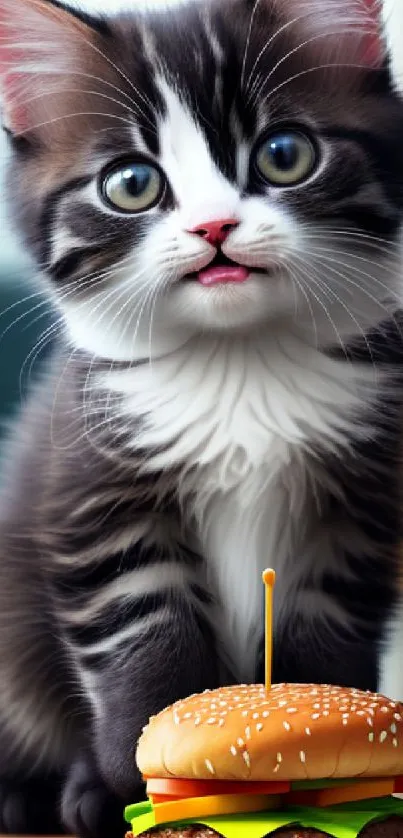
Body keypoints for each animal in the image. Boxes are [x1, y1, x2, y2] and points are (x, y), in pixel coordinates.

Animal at [0, 0, 403, 836]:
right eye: (130, 184)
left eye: (283, 154)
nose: (213, 227)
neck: (238, 362)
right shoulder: (93, 485)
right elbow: (144, 636)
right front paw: (128, 783)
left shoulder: (355, 508)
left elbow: (322, 636)